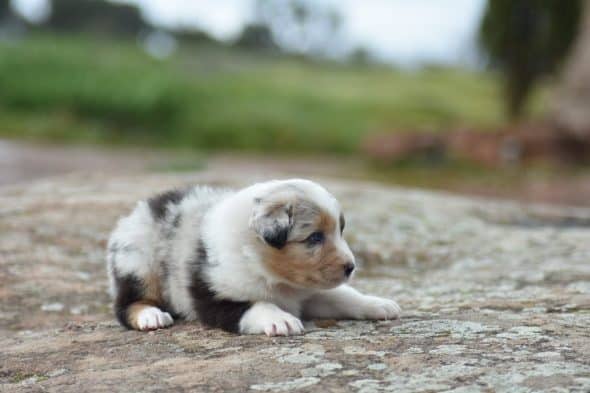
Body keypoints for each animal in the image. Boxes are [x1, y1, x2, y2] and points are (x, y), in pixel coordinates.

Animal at [106, 178, 402, 334]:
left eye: (340, 230)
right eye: (315, 237)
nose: (351, 267)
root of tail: (137, 211)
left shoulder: (309, 293)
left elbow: (342, 295)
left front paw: (378, 304)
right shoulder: (213, 296)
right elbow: (255, 304)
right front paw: (281, 319)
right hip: (138, 263)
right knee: (126, 305)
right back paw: (150, 316)